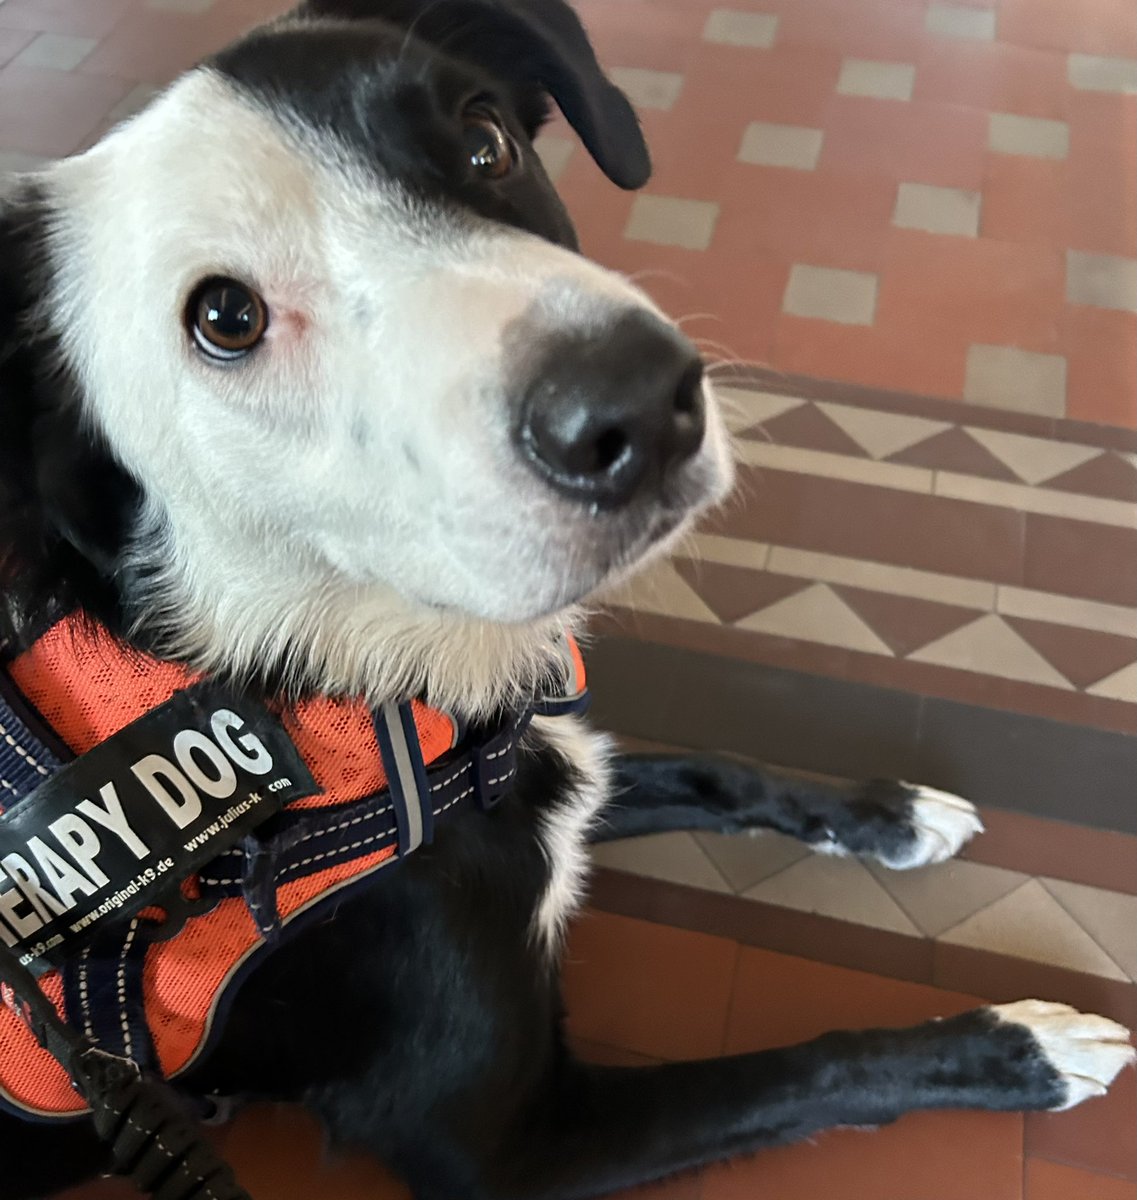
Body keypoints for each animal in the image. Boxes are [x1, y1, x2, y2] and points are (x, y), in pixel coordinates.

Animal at [0, 2, 1132, 1200]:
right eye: (224, 317)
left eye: (485, 138)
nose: (637, 401)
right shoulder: (513, 1151)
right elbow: (812, 1068)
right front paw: (1021, 1045)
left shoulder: (544, 767)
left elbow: (715, 768)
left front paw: (890, 815)